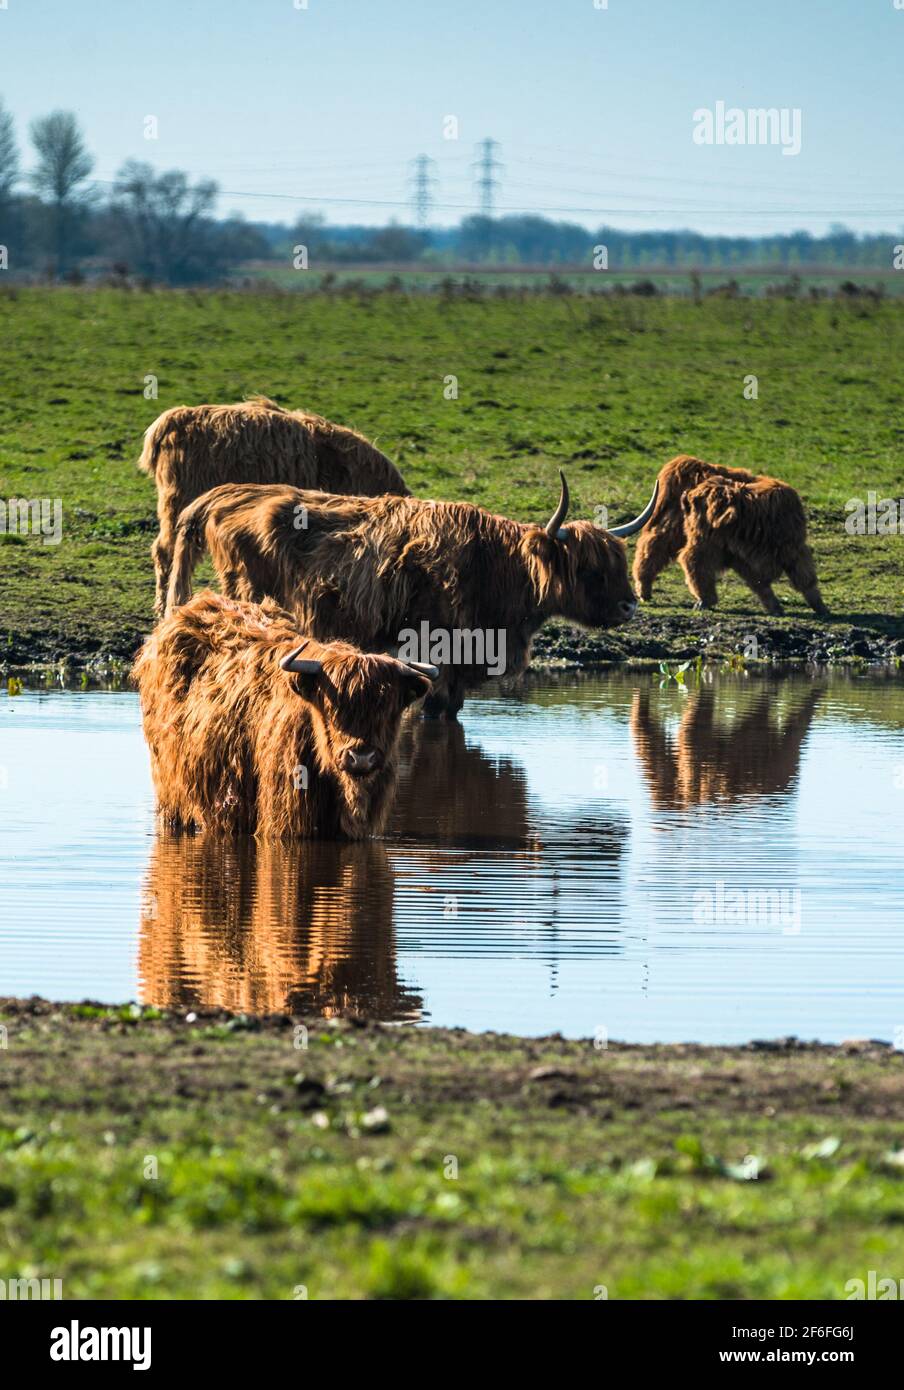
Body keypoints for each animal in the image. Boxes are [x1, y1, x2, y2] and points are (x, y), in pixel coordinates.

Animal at [631, 453, 827, 615]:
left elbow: (763, 583)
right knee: (674, 553)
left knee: (658, 549)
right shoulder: (790, 548)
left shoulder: (745, 556)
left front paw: (780, 608)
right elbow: (801, 578)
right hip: (695, 538)